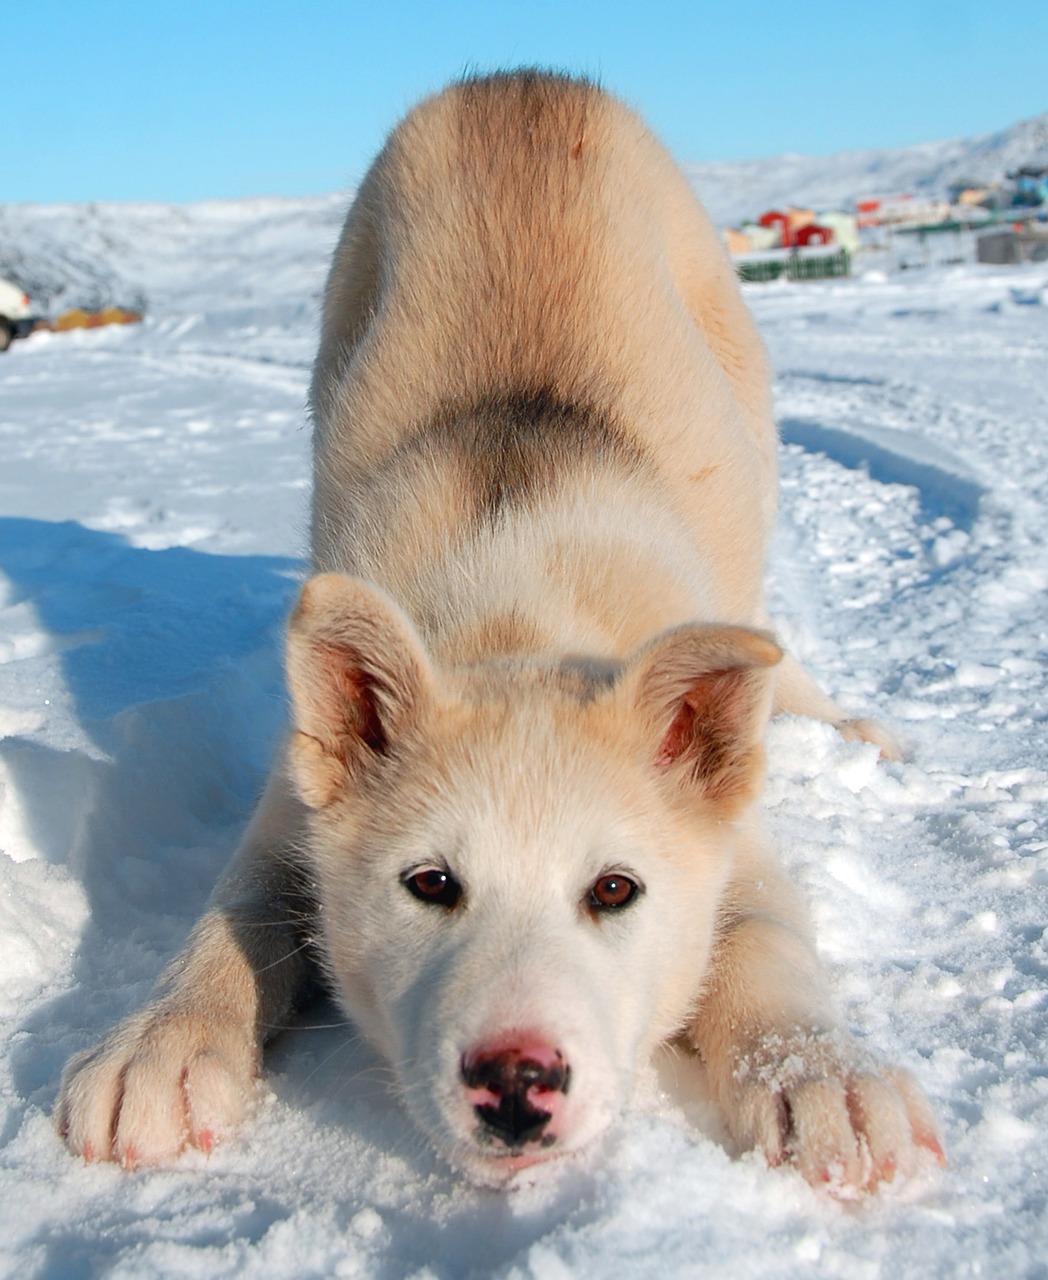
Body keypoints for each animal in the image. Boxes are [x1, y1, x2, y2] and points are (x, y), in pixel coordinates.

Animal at [53, 70, 946, 1187]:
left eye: (615, 888)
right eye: (431, 883)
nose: (516, 1082)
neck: (514, 610)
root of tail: (520, 79)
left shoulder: (734, 848)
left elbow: (764, 940)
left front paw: (817, 1071)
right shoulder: (290, 807)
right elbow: (235, 906)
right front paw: (163, 1040)